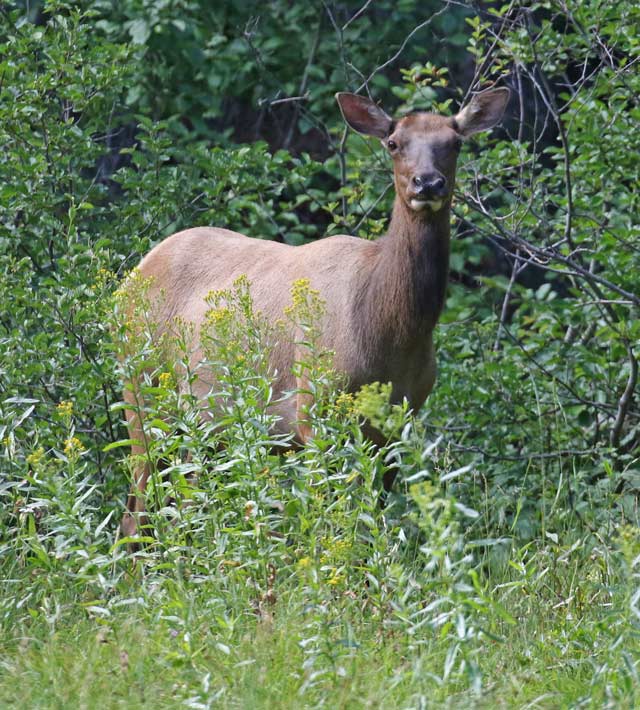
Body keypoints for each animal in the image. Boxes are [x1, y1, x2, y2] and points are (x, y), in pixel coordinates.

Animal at [120, 86, 510, 539]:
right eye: (393, 144)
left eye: (456, 142)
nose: (428, 182)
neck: (388, 336)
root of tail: (129, 280)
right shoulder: (313, 412)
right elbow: (328, 519)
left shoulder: (401, 420)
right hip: (142, 395)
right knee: (140, 511)